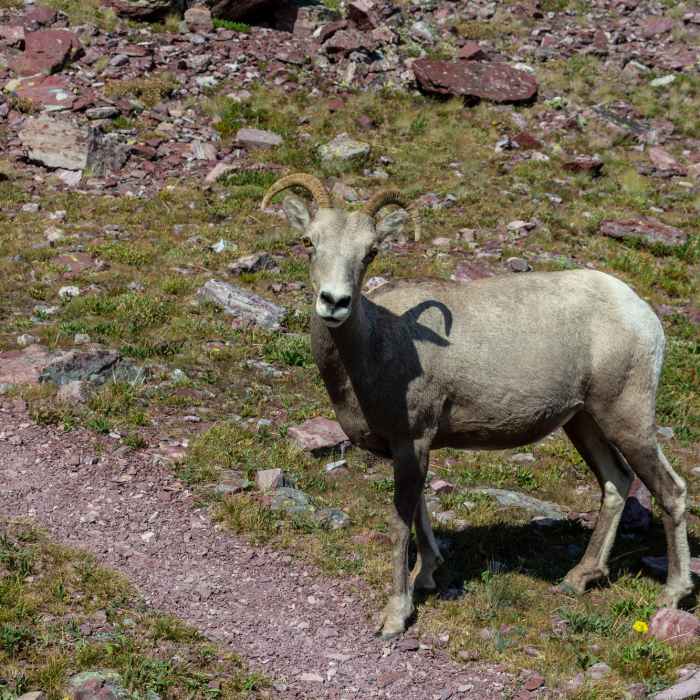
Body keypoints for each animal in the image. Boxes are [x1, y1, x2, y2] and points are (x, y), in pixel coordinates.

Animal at [261, 173, 692, 640]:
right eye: (309, 241)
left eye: (370, 252)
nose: (334, 302)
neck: (378, 344)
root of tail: (642, 314)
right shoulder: (412, 449)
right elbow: (421, 512)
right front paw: (428, 575)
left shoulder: (412, 441)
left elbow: (400, 523)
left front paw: (395, 616)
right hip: (583, 421)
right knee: (616, 481)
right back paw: (578, 579)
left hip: (627, 418)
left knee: (671, 491)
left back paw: (672, 594)